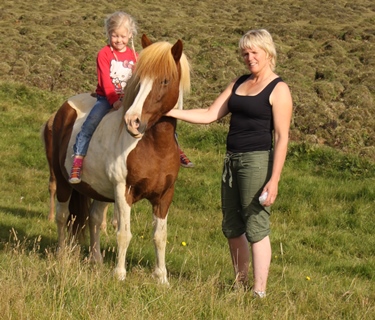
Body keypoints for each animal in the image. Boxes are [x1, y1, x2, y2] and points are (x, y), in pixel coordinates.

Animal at [41, 34, 191, 284]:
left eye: (165, 81)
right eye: (138, 80)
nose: (133, 121)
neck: (154, 147)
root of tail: (62, 109)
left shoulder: (164, 196)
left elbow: (160, 236)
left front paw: (161, 278)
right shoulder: (124, 190)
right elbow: (124, 233)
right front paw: (120, 274)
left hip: (99, 189)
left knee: (93, 218)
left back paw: (96, 259)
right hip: (62, 181)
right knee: (62, 217)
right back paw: (62, 255)